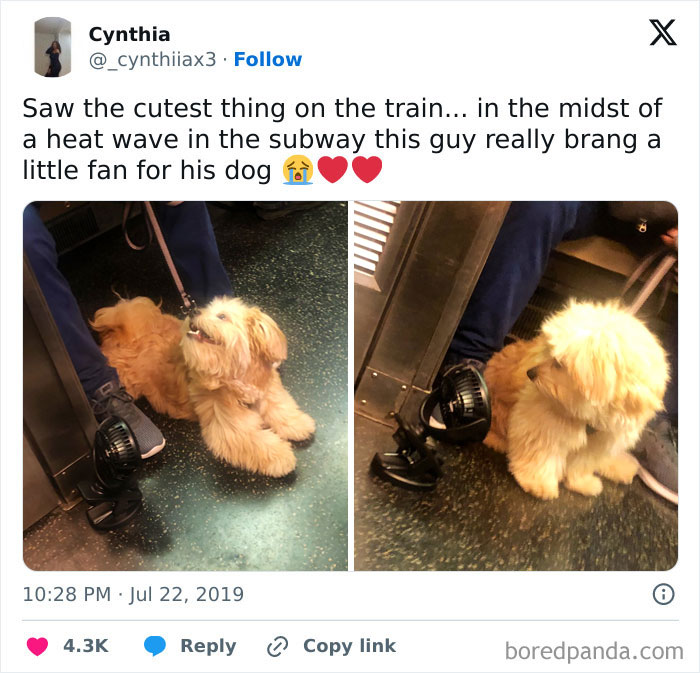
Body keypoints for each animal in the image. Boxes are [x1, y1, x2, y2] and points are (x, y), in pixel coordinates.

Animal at [91, 296, 316, 476]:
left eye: (222, 316)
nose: (193, 311)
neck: (234, 375)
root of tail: (120, 333)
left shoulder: (267, 390)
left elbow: (280, 407)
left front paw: (297, 423)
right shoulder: (229, 428)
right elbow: (256, 441)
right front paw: (282, 457)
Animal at [484, 300, 668, 498]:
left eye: (558, 364)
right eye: (550, 352)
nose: (530, 373)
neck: (588, 418)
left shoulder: (597, 443)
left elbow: (581, 464)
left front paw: (581, 483)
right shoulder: (540, 426)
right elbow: (540, 456)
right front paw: (538, 483)